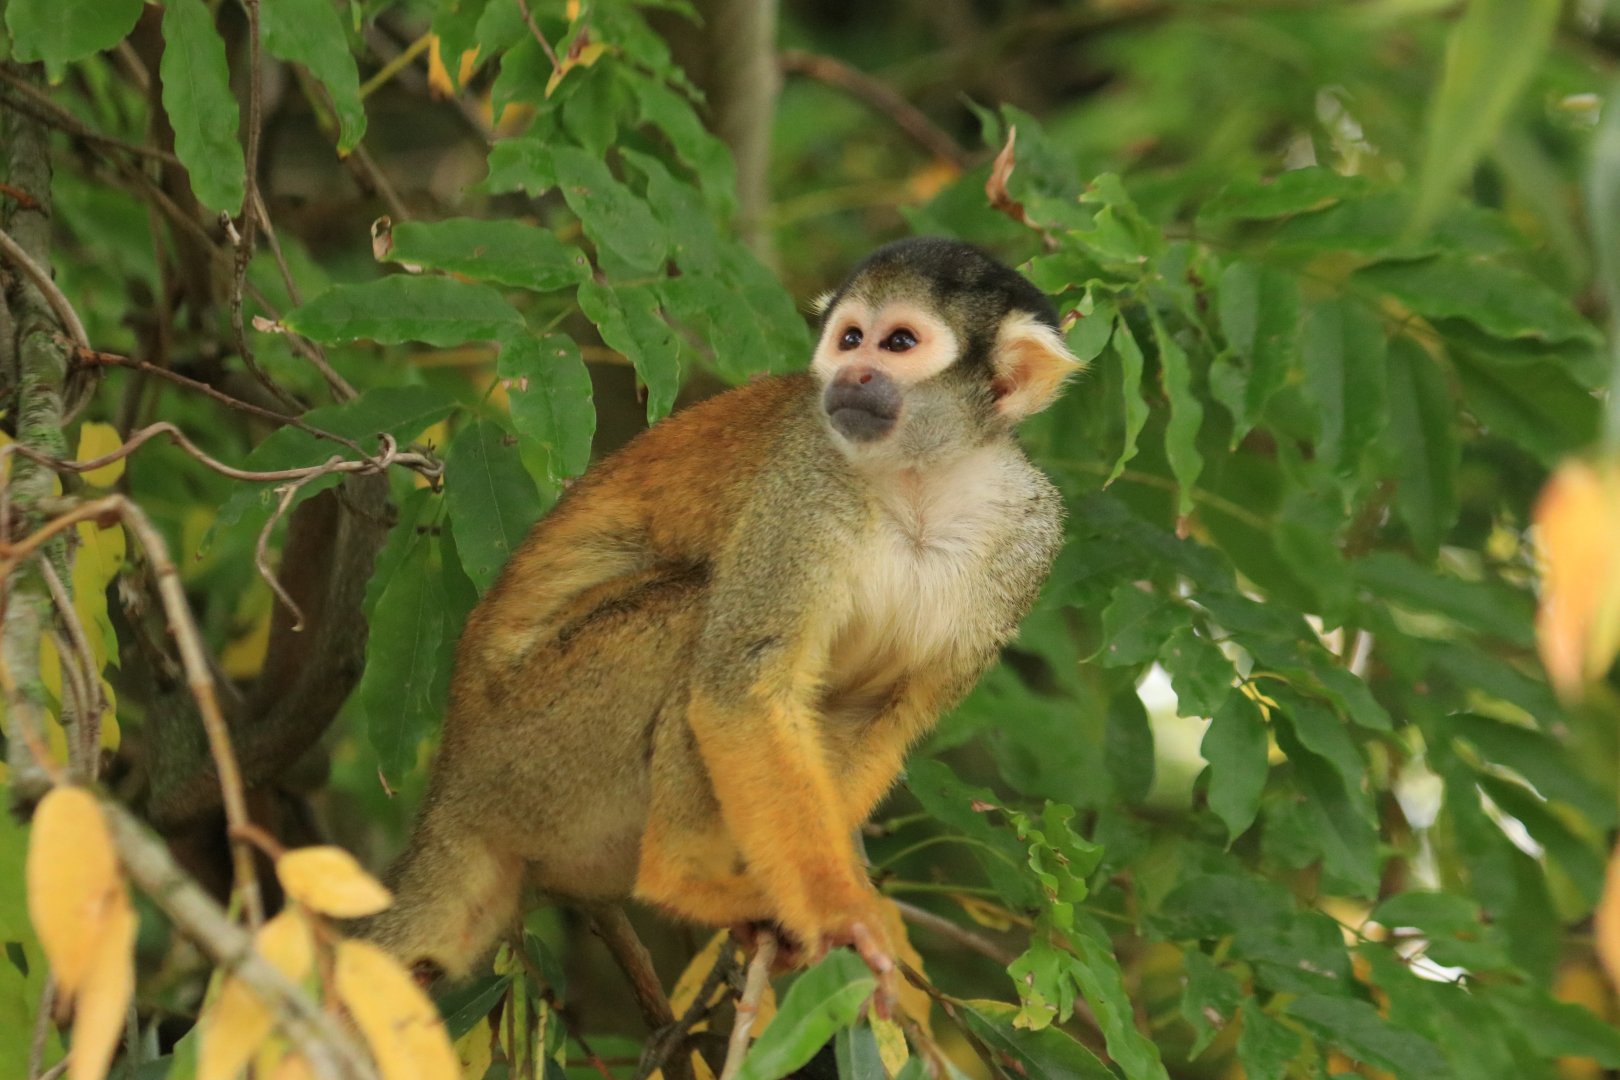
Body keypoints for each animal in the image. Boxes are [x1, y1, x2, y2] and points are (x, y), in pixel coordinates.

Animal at [360, 237, 1082, 1011]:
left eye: (898, 343)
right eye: (850, 338)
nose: (851, 373)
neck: (922, 479)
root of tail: (451, 792)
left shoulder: (1031, 540)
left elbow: (880, 720)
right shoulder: (804, 478)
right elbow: (742, 688)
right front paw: (839, 913)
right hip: (531, 743)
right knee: (694, 615)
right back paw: (684, 879)